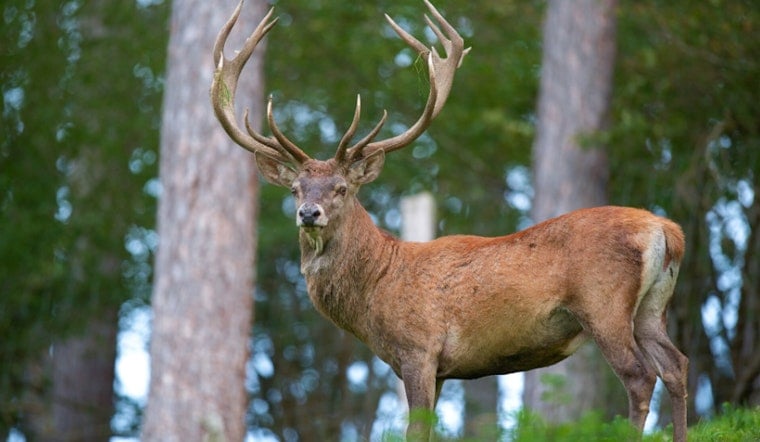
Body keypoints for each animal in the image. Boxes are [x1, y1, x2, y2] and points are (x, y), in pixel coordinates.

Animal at [211, 1, 689, 440]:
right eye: (295, 189)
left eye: (342, 188)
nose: (309, 213)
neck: (376, 289)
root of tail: (667, 231)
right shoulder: (440, 368)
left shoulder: (419, 350)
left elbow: (416, 430)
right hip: (651, 308)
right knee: (677, 365)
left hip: (603, 303)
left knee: (639, 376)